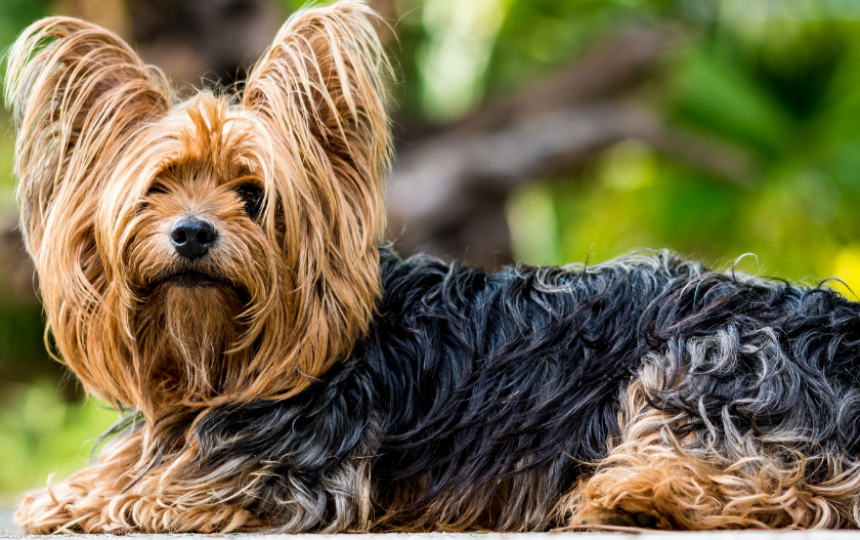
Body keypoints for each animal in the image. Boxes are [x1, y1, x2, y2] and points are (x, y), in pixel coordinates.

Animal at [6, 0, 860, 532]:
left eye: (254, 194)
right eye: (155, 190)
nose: (191, 234)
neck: (216, 362)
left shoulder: (290, 482)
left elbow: (153, 497)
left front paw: (91, 502)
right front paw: (77, 492)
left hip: (713, 356)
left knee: (795, 489)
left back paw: (636, 497)